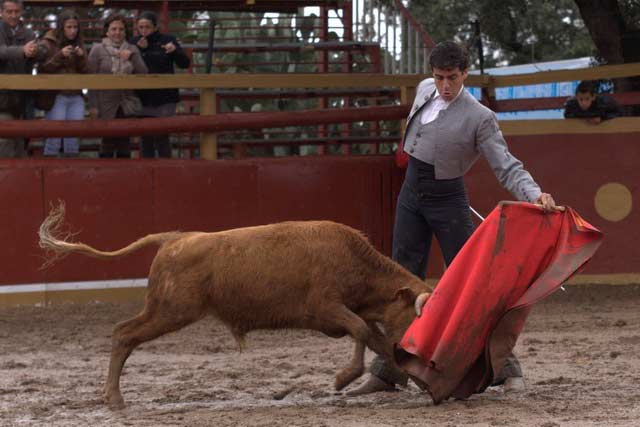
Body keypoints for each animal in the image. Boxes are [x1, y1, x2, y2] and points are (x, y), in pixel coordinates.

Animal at [38, 204, 430, 412]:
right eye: (416, 315)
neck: (354, 260)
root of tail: (175, 238)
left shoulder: (350, 313)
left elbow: (378, 341)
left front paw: (418, 381)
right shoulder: (326, 309)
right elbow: (364, 332)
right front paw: (344, 377)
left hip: (166, 310)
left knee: (124, 333)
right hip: (171, 311)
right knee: (123, 334)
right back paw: (115, 397)